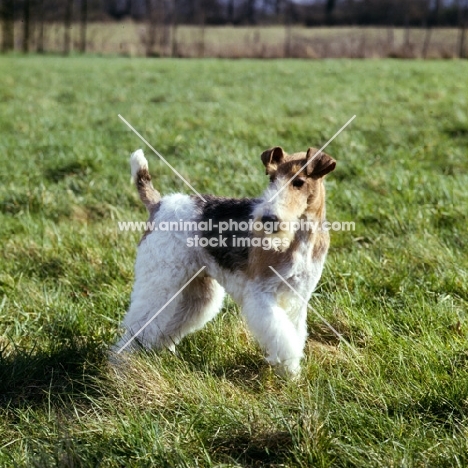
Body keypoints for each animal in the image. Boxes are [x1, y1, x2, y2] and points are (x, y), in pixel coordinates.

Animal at [115, 147, 338, 376]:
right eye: (271, 178)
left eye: (299, 182)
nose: (268, 219)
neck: (301, 238)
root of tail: (160, 204)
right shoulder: (261, 293)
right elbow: (284, 338)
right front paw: (291, 371)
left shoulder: (298, 296)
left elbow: (295, 334)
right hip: (161, 280)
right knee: (138, 326)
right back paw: (122, 364)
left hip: (198, 293)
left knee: (166, 326)